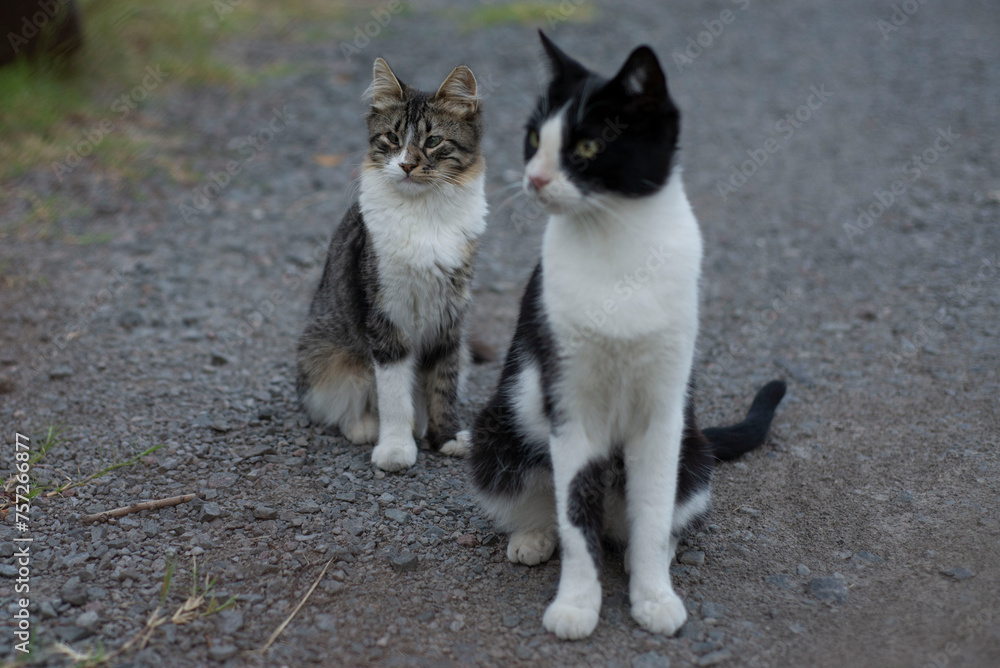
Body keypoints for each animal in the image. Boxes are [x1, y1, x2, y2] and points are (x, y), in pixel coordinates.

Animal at [294, 58, 486, 474]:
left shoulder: (449, 318)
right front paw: (396, 449)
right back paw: (367, 427)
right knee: (344, 401)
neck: (424, 212)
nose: (408, 165)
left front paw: (446, 437)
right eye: (393, 139)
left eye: (433, 141)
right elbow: (394, 393)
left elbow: (442, 384)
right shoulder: (386, 316)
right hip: (326, 356)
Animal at [468, 32, 788, 640]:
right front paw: (576, 603)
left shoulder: (663, 412)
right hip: (497, 425)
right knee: (539, 498)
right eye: (533, 139)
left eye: (589, 147)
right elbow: (575, 518)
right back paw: (532, 536)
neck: (615, 240)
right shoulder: (571, 407)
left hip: (694, 454)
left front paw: (654, 596)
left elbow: (653, 515)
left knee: (655, 517)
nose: (534, 178)